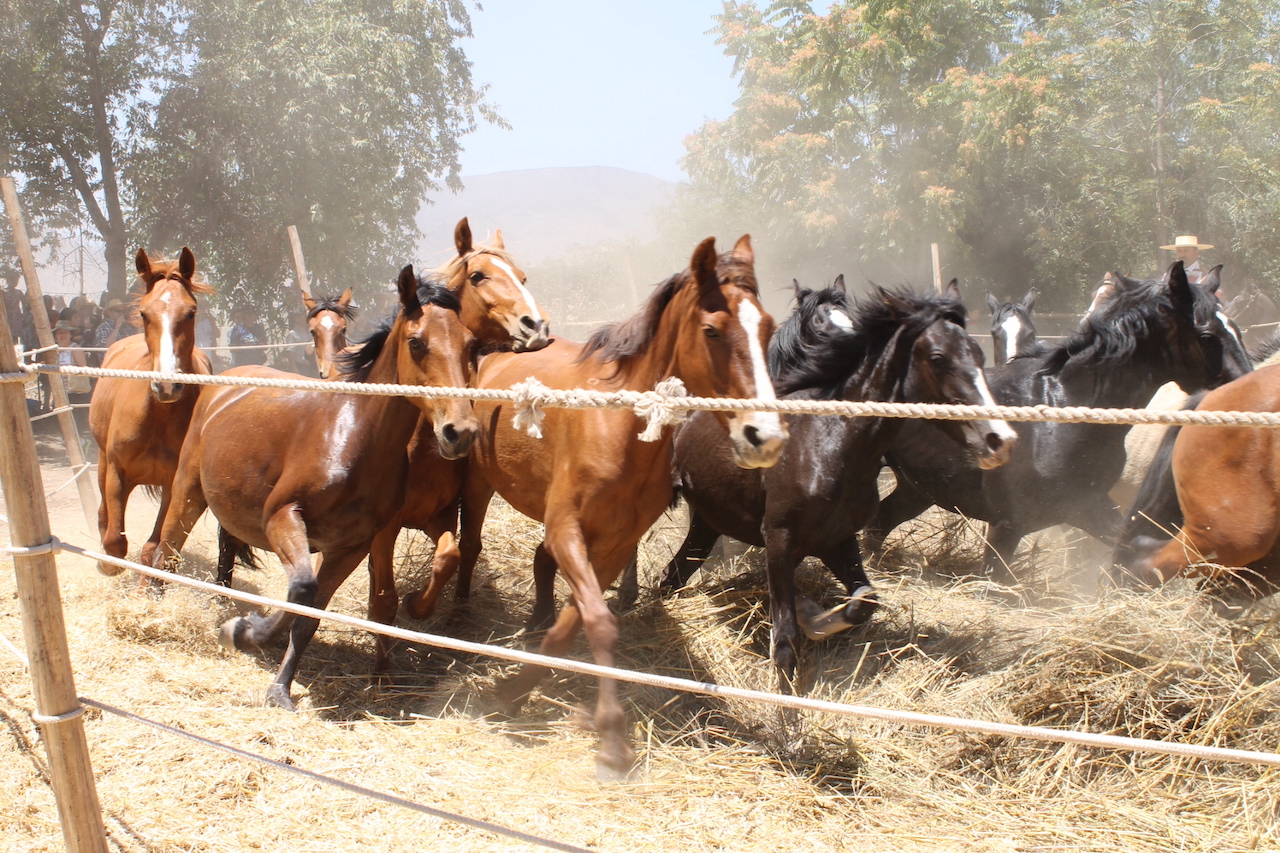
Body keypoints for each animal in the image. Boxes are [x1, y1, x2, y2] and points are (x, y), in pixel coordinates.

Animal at [157, 268, 478, 706]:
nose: (459, 432)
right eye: (416, 342)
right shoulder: (282, 517)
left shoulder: (351, 547)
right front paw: (244, 632)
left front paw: (279, 687)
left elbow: (309, 614)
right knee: (165, 552)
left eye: (471, 344)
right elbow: (302, 590)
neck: (355, 438)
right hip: (187, 493)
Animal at [430, 234, 788, 778]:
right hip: (477, 484)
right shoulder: (568, 530)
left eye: (767, 327)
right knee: (470, 544)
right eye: (711, 329)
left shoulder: (615, 544)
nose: (762, 435)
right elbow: (598, 622)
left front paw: (517, 690)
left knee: (539, 565)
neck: (618, 428)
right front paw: (613, 742)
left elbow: (574, 624)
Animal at [660, 281, 1008, 681]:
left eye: (979, 355)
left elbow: (864, 601)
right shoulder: (778, 538)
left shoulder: (836, 540)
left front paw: (814, 616)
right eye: (937, 358)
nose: (998, 439)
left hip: (708, 521)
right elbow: (785, 640)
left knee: (673, 574)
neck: (828, 442)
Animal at [870, 258, 1249, 578]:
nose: (1247, 389)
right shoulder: (1007, 525)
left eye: (1238, 328)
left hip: (917, 487)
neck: (1063, 411)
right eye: (1206, 335)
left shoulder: (1088, 507)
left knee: (878, 525)